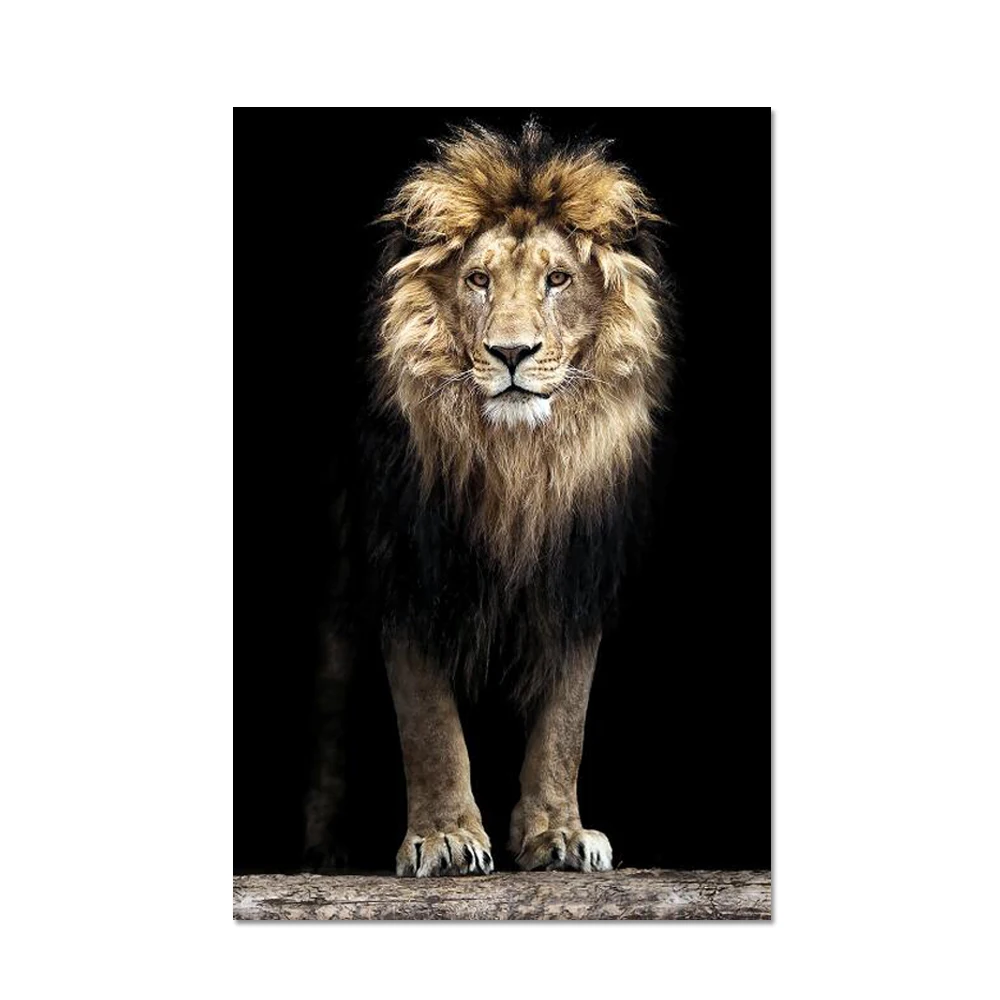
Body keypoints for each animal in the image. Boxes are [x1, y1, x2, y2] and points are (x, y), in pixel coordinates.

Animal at [304, 120, 674, 876]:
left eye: (557, 279)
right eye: (478, 280)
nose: (510, 353)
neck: (517, 464)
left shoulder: (576, 574)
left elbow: (565, 720)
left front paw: (559, 833)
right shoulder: (408, 565)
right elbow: (429, 723)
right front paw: (445, 837)